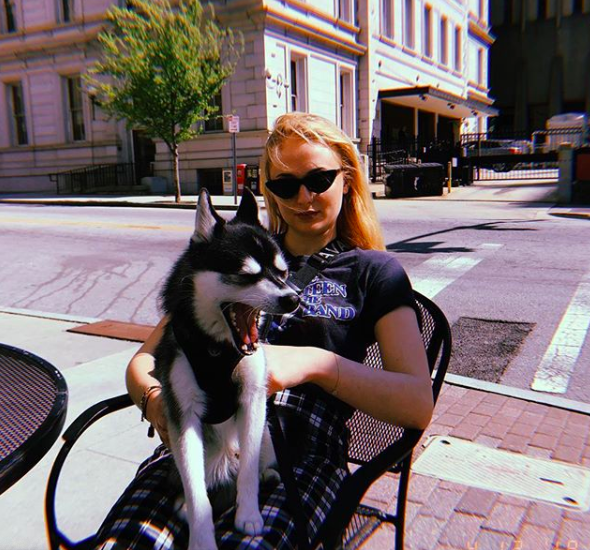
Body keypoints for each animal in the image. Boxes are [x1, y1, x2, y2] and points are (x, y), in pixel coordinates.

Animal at [156, 190, 300, 550]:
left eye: (282, 273)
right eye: (247, 275)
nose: (294, 299)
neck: (216, 348)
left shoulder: (253, 401)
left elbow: (247, 470)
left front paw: (248, 514)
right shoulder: (183, 416)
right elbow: (197, 494)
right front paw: (201, 538)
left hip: (269, 432)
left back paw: (268, 474)